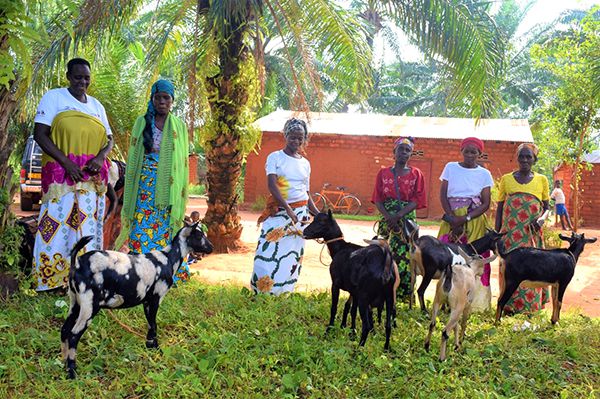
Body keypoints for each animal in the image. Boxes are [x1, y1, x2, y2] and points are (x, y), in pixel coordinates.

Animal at [61, 223, 213, 380]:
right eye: (199, 236)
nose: (211, 248)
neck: (169, 258)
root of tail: (77, 264)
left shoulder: (146, 302)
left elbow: (150, 325)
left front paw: (150, 348)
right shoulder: (156, 298)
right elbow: (154, 325)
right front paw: (157, 350)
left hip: (75, 301)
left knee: (65, 330)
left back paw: (64, 365)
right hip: (89, 305)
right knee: (73, 334)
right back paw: (72, 372)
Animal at [302, 211, 396, 352]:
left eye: (321, 222)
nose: (304, 232)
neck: (340, 248)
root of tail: (384, 262)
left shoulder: (335, 284)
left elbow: (334, 307)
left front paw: (329, 330)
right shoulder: (354, 291)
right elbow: (350, 309)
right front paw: (350, 331)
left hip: (365, 297)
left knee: (366, 326)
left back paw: (359, 349)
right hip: (389, 297)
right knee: (388, 325)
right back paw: (385, 349)